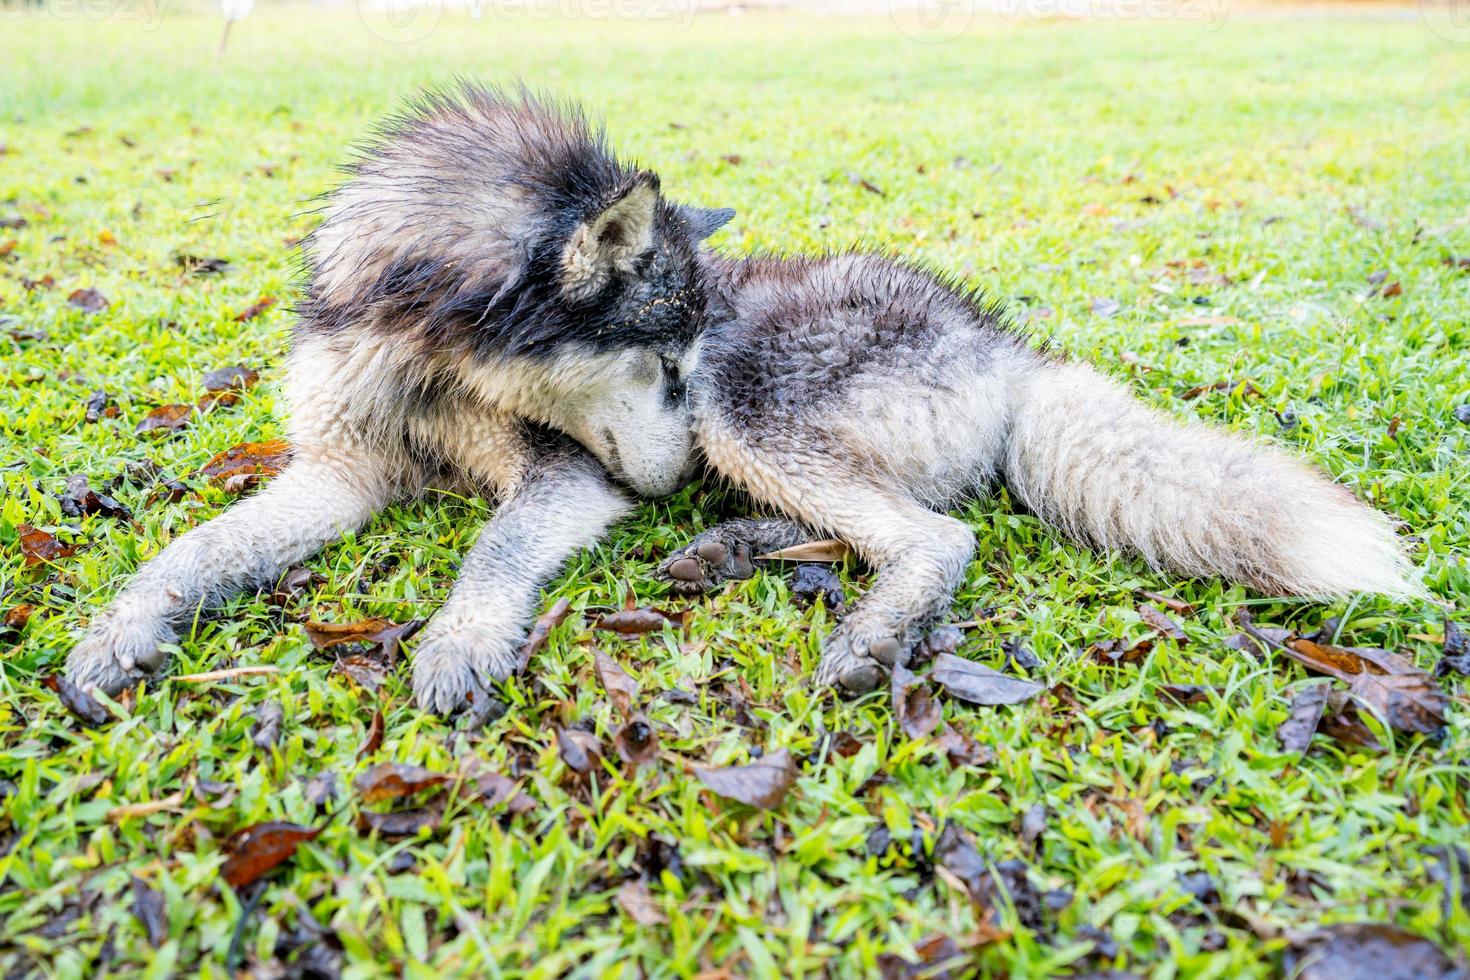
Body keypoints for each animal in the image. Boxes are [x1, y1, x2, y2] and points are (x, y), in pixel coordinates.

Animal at [69, 86, 735, 714]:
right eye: (669, 367)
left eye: (687, 371)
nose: (687, 478)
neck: (426, 360)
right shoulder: (340, 468)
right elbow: (202, 545)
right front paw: (126, 625)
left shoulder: (565, 471)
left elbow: (500, 542)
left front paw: (462, 637)